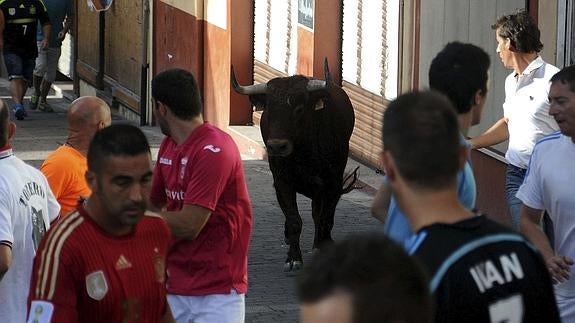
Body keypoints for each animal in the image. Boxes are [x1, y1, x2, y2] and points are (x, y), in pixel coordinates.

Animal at [232, 60, 358, 270]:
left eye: (299, 109)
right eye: (269, 110)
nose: (277, 146)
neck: (303, 153)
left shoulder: (332, 183)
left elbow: (325, 218)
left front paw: (321, 248)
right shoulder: (282, 182)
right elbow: (294, 220)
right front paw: (293, 258)